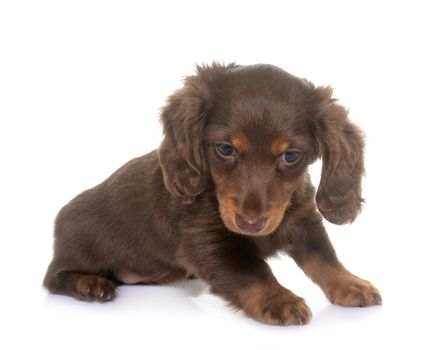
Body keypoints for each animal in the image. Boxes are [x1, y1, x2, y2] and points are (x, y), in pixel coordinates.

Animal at [43, 63, 380, 326]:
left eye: (290, 156)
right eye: (225, 149)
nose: (250, 223)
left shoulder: (303, 222)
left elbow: (324, 258)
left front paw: (351, 283)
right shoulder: (206, 241)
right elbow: (252, 270)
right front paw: (278, 299)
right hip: (78, 248)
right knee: (53, 277)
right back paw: (90, 284)